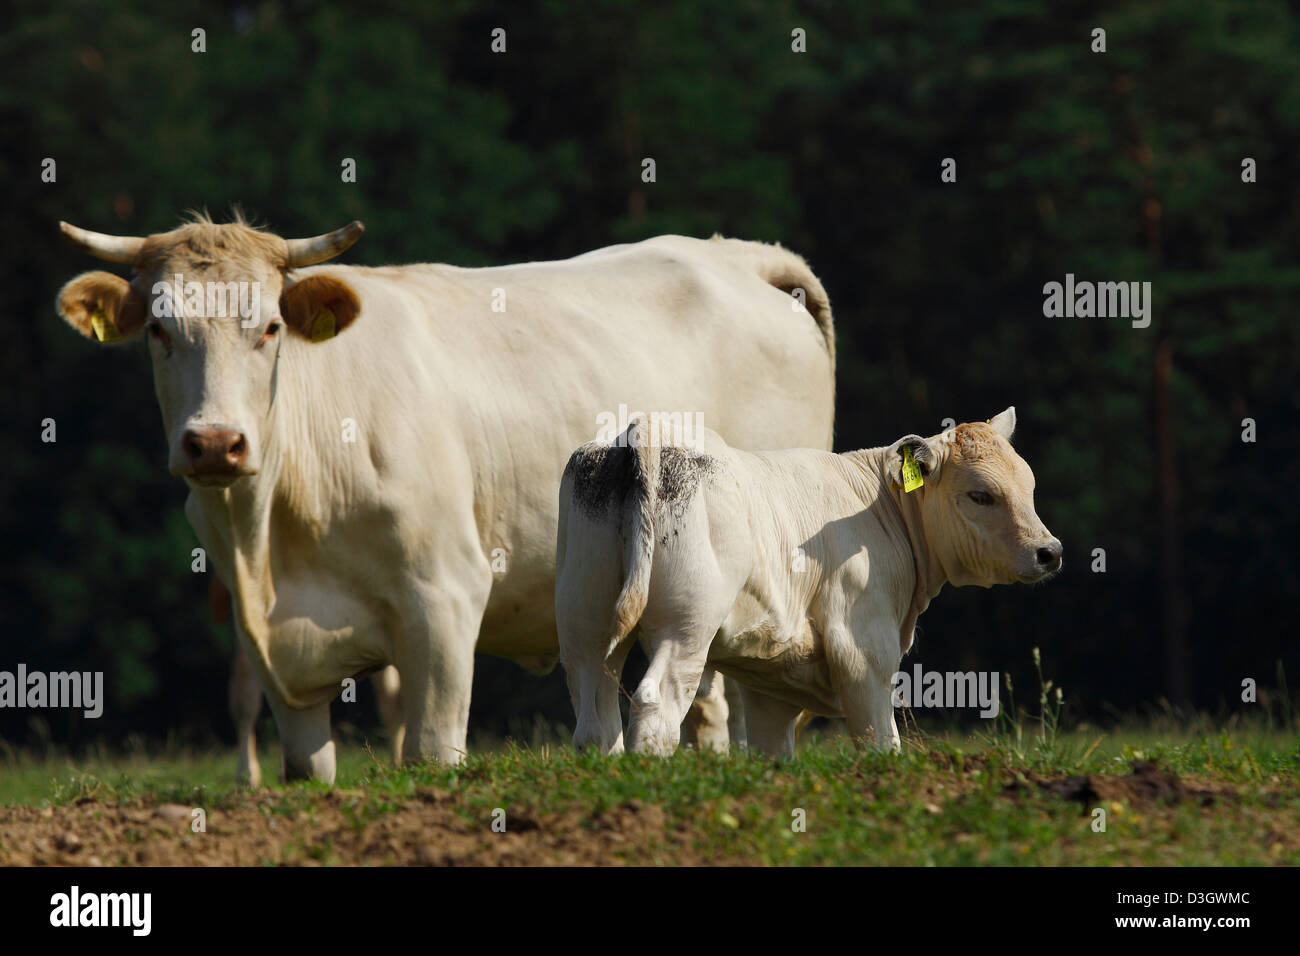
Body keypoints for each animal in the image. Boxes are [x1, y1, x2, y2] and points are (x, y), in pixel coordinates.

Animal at [54, 214, 835, 781]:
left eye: (271, 327)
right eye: (160, 331)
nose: (216, 443)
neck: (269, 537)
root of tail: (738, 256)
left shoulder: (445, 597)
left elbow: (432, 750)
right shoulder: (268, 647)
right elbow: (307, 769)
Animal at [555, 408, 1062, 756]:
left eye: (1030, 486)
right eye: (980, 495)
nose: (1050, 551)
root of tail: (648, 428)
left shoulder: (768, 686)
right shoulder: (864, 652)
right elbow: (881, 741)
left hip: (584, 624)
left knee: (595, 721)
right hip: (686, 628)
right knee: (655, 705)